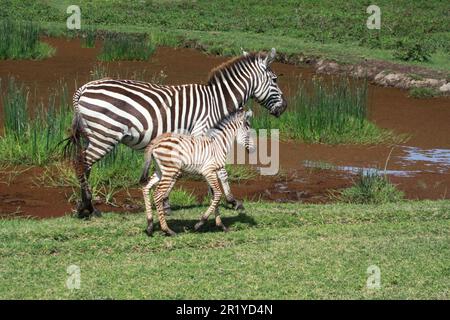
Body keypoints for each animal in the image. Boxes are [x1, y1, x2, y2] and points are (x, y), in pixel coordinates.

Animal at [65, 48, 286, 218]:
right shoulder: (202, 132)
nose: (284, 108)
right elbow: (220, 169)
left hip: (93, 136)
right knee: (82, 163)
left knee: (84, 165)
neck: (217, 101)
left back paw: (83, 206)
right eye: (275, 80)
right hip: (105, 135)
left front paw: (166, 203)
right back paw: (89, 208)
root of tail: (84, 88)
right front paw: (231, 201)